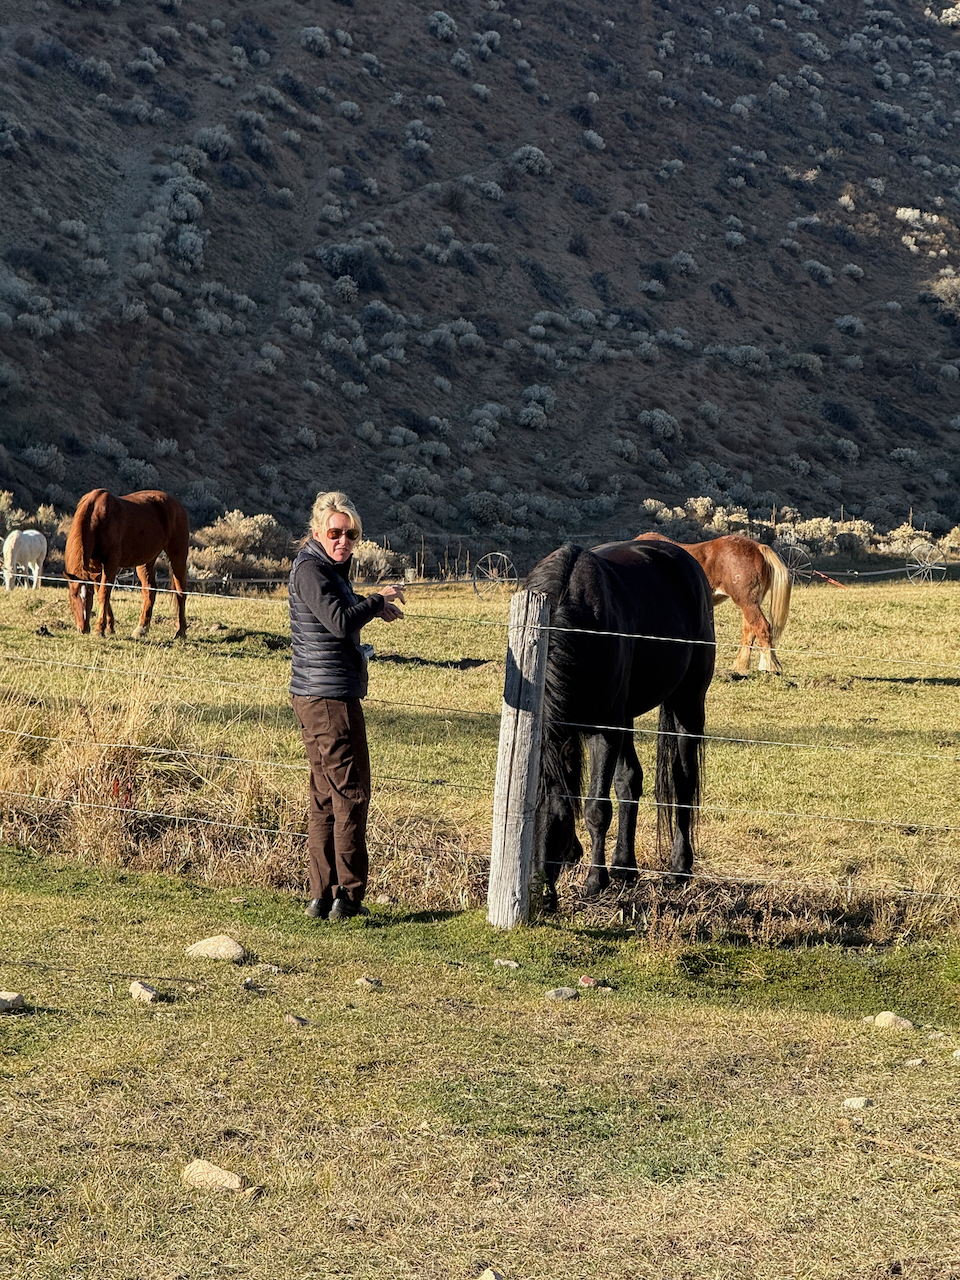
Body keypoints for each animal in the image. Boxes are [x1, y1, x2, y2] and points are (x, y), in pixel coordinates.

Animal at [64, 489, 190, 638]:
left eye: (88, 596)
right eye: (73, 595)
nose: (83, 628)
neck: (97, 516)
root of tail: (178, 505)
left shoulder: (111, 563)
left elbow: (104, 593)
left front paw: (99, 629)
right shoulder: (95, 567)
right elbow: (101, 592)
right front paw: (109, 627)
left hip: (178, 556)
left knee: (180, 592)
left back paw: (181, 631)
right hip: (145, 561)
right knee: (150, 590)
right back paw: (141, 629)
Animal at [525, 539, 715, 910]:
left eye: (558, 820)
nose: (540, 897)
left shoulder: (605, 730)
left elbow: (596, 808)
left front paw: (594, 881)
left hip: (687, 703)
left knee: (684, 782)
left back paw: (679, 868)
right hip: (628, 715)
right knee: (630, 781)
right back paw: (624, 867)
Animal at [636, 532, 791, 675]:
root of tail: (759, 548)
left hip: (747, 602)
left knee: (762, 627)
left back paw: (768, 666)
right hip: (750, 604)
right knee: (749, 630)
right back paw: (740, 666)